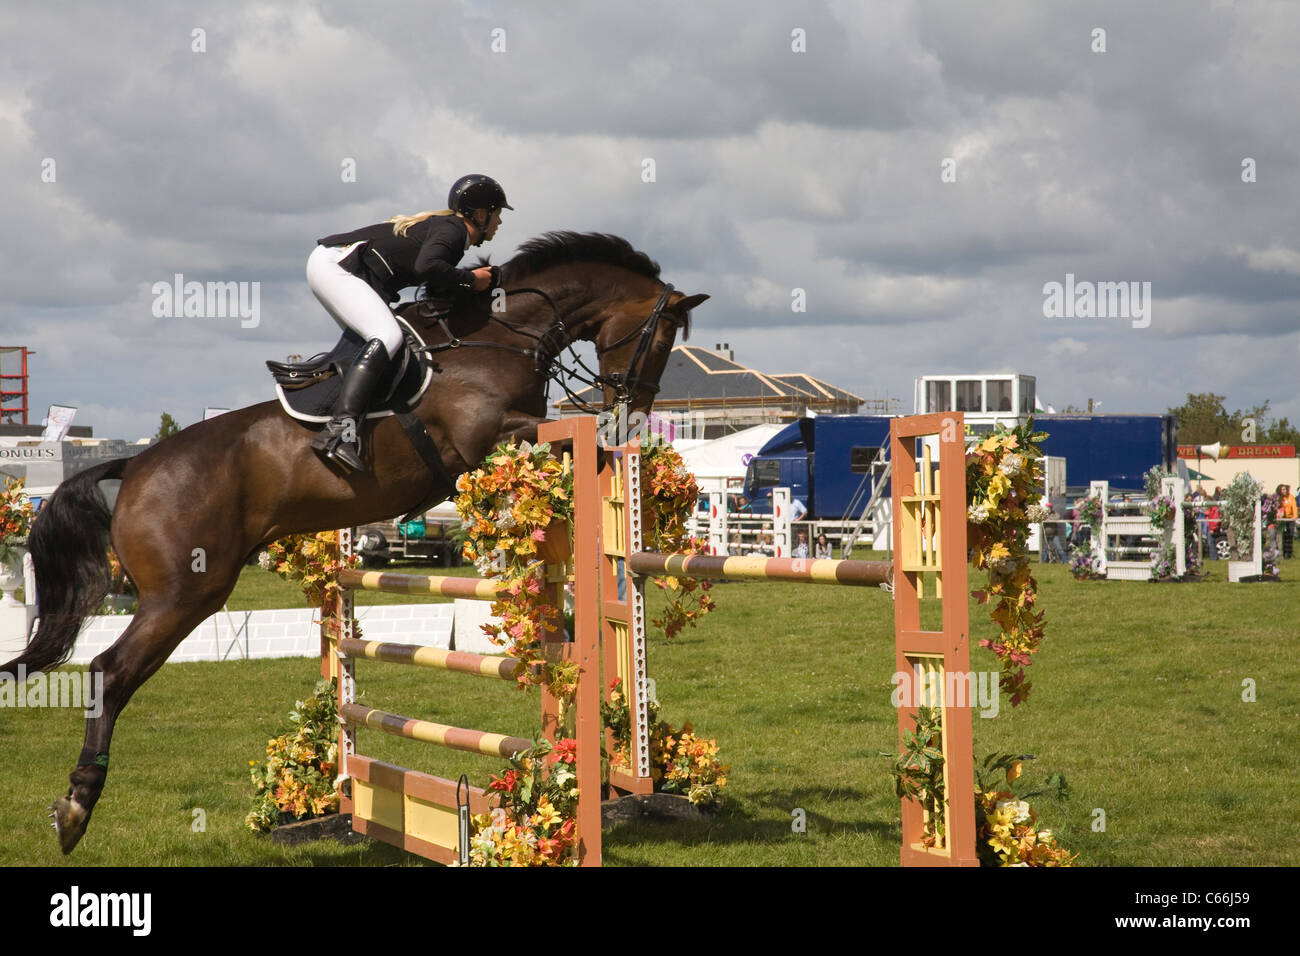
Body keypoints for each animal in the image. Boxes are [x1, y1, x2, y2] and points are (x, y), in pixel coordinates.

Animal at [2, 230, 712, 853]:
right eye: (661, 341)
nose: (633, 411)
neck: (500, 337)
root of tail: (133, 467)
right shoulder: (487, 436)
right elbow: (559, 448)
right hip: (185, 594)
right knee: (107, 671)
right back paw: (76, 807)